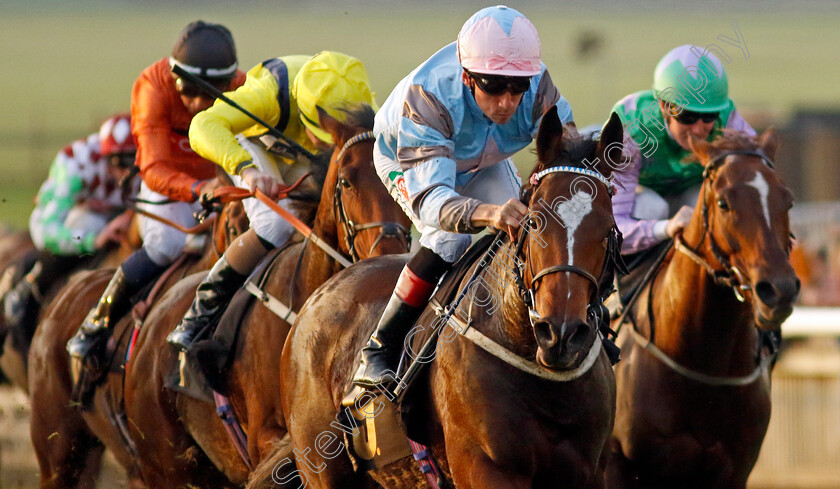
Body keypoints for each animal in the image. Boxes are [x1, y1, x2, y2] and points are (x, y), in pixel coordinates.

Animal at [280, 107, 624, 488]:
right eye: (534, 222)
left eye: (608, 229)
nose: (562, 333)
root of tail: (316, 300)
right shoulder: (484, 467)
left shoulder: (592, 471)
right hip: (321, 465)